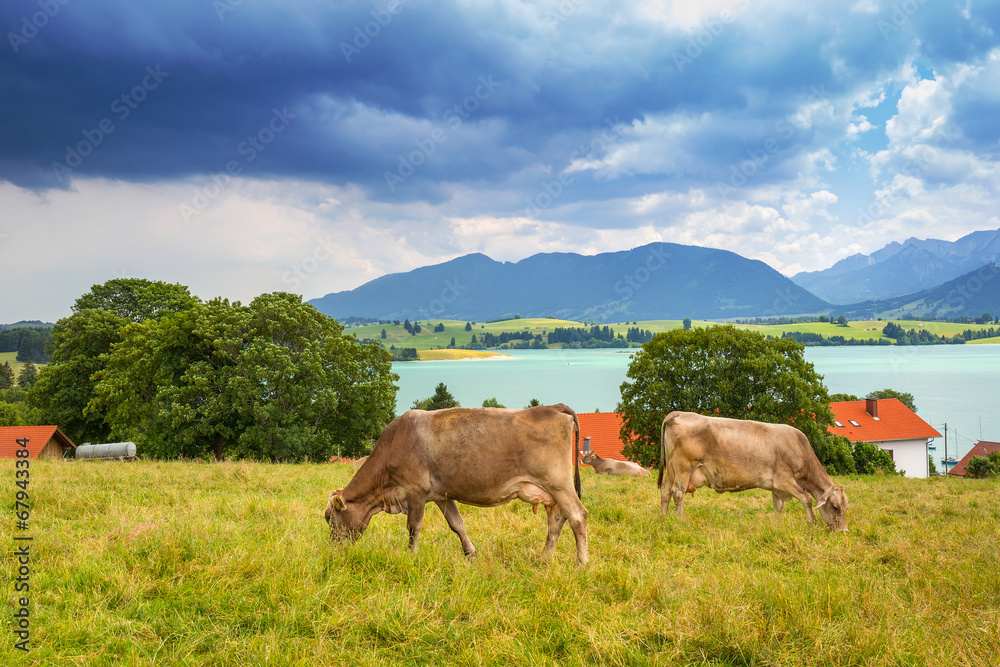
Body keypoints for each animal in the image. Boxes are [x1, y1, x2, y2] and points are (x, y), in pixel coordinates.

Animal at [324, 404, 588, 568]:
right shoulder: (442, 494)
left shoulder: (415, 491)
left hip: (559, 484)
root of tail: (553, 407)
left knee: (577, 516)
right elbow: (456, 524)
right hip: (551, 491)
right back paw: (545, 559)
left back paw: (581, 563)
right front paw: (470, 553)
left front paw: (411, 555)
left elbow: (413, 527)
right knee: (556, 520)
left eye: (330, 517)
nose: (334, 549)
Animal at [660, 412, 848, 532]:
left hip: (671, 469)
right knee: (678, 493)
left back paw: (664, 519)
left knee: (665, 492)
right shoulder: (785, 480)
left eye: (846, 507)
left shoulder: (776, 487)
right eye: (834, 506)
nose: (844, 531)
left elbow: (778, 506)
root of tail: (678, 413)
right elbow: (806, 499)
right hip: (683, 467)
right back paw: (681, 521)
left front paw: (777, 525)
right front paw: (812, 523)